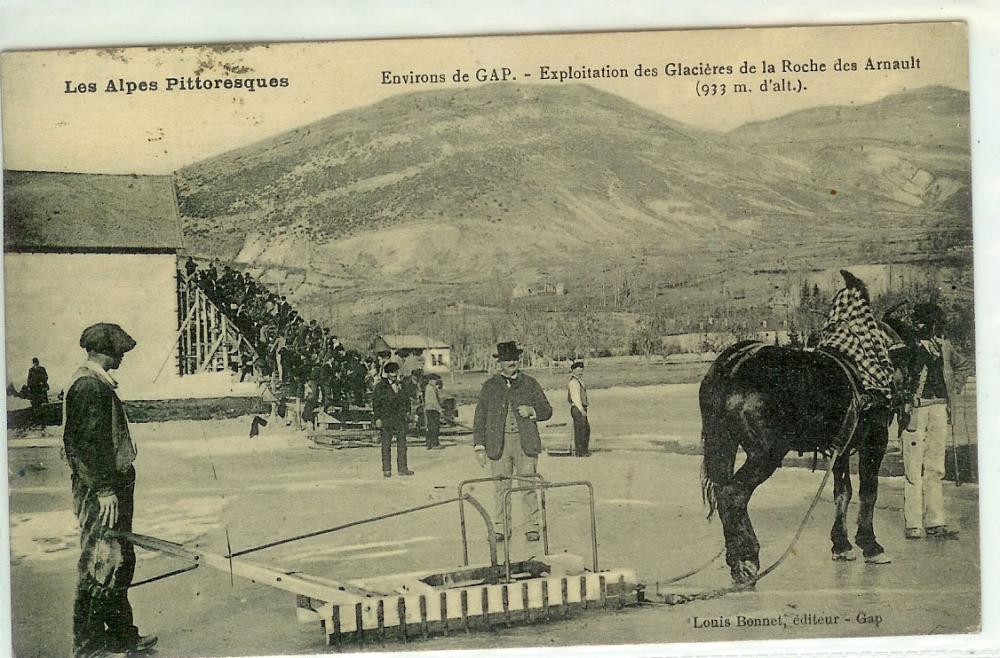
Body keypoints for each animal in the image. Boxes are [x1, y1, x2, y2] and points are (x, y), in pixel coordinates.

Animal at [700, 334, 912, 584]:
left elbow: (843, 492)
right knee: (734, 493)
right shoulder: (875, 439)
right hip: (767, 454)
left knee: (722, 491)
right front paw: (870, 545)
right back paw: (746, 559)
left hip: (724, 443)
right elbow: (868, 493)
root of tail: (734, 364)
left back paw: (736, 559)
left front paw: (841, 545)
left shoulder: (841, 445)